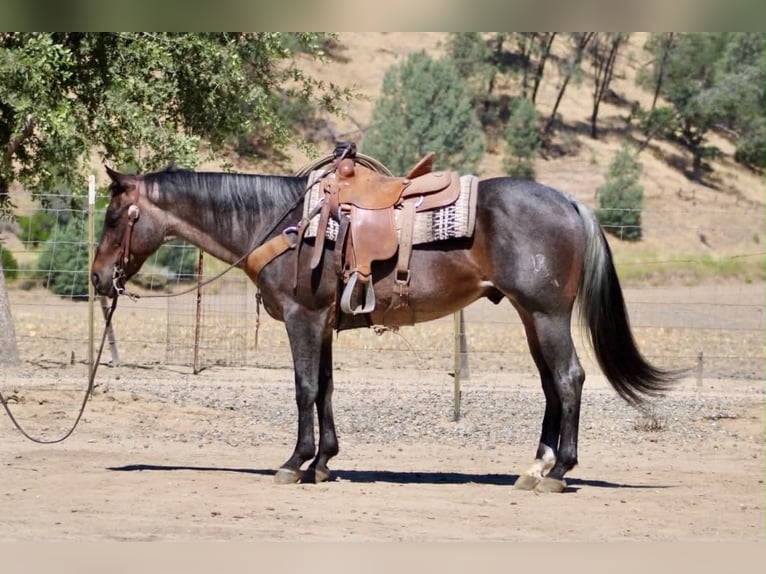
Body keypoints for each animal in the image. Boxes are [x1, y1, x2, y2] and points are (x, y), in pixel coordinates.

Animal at [91, 163, 679, 493]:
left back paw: (559, 474)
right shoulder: (324, 323)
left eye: (115, 217)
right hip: (530, 316)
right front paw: (323, 463)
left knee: (570, 379)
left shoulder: (303, 318)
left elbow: (304, 388)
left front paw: (295, 463)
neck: (283, 222)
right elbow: (326, 389)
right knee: (551, 386)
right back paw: (536, 467)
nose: (98, 278)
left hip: (546, 314)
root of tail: (572, 202)